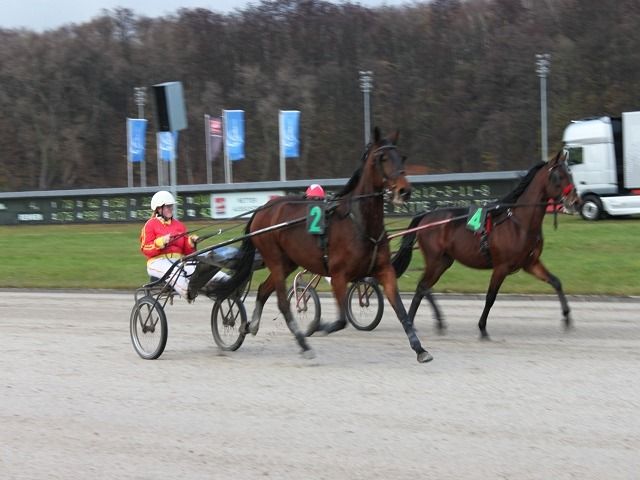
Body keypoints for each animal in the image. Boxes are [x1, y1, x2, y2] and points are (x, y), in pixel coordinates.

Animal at [206, 127, 433, 363]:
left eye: (402, 157)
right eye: (383, 158)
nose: (404, 191)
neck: (360, 223)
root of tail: (263, 208)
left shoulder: (384, 270)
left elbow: (401, 311)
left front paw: (420, 349)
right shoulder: (339, 275)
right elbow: (341, 320)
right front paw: (319, 326)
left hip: (288, 262)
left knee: (262, 290)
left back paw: (251, 326)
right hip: (274, 258)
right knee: (282, 302)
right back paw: (303, 344)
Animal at [392, 150, 581, 339]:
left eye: (570, 174)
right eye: (558, 176)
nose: (575, 201)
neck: (519, 223)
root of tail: (425, 215)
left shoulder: (530, 263)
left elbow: (556, 282)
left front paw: (567, 317)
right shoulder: (501, 267)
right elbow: (490, 297)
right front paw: (482, 328)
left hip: (444, 261)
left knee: (424, 287)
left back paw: (432, 322)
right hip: (435, 259)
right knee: (422, 287)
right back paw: (413, 322)